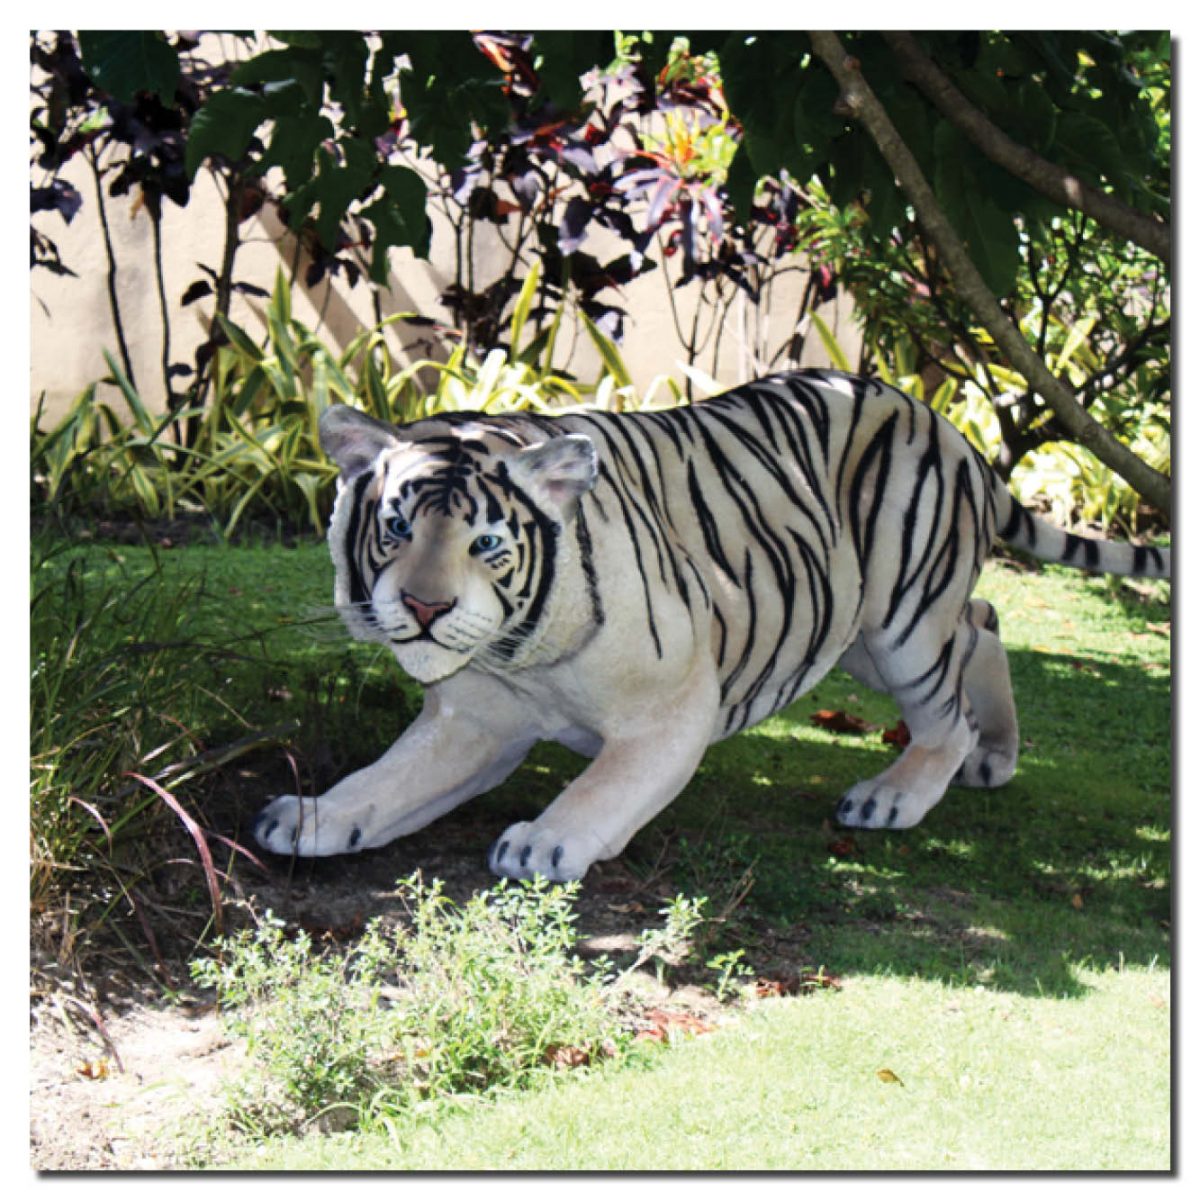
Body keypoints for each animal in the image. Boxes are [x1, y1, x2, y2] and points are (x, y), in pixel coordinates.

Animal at [252, 369, 1170, 881]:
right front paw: (312, 816)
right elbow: (386, 780)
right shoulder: (475, 718)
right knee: (982, 621)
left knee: (947, 707)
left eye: (486, 544)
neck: (517, 654)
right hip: (859, 629)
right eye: (395, 528)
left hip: (901, 618)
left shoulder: (672, 711)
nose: (425, 607)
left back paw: (897, 796)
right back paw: (996, 758)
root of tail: (949, 425)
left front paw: (547, 842)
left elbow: (605, 785)